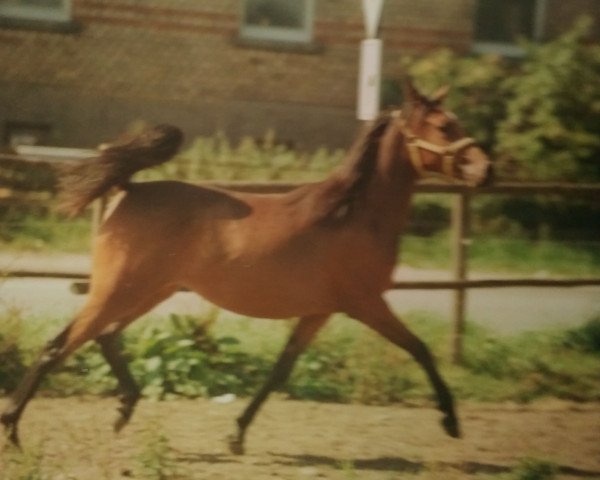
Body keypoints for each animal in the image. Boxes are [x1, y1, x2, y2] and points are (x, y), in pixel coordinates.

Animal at [1, 81, 492, 454]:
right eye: (444, 126)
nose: (486, 170)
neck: (351, 214)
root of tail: (130, 189)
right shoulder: (367, 303)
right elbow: (421, 349)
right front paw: (451, 422)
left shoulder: (319, 311)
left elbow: (279, 371)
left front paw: (236, 435)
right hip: (117, 290)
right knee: (56, 348)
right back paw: (14, 431)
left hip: (150, 291)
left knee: (103, 337)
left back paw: (125, 409)